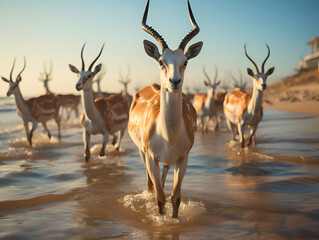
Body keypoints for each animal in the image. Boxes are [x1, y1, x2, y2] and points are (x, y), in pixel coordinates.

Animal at [128, 0, 201, 218]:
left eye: (185, 62)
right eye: (161, 61)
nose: (174, 81)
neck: (168, 134)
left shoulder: (182, 160)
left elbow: (175, 197)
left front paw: (174, 219)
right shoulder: (151, 158)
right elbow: (159, 196)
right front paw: (159, 218)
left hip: (168, 162)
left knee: (162, 178)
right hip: (143, 154)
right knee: (151, 184)